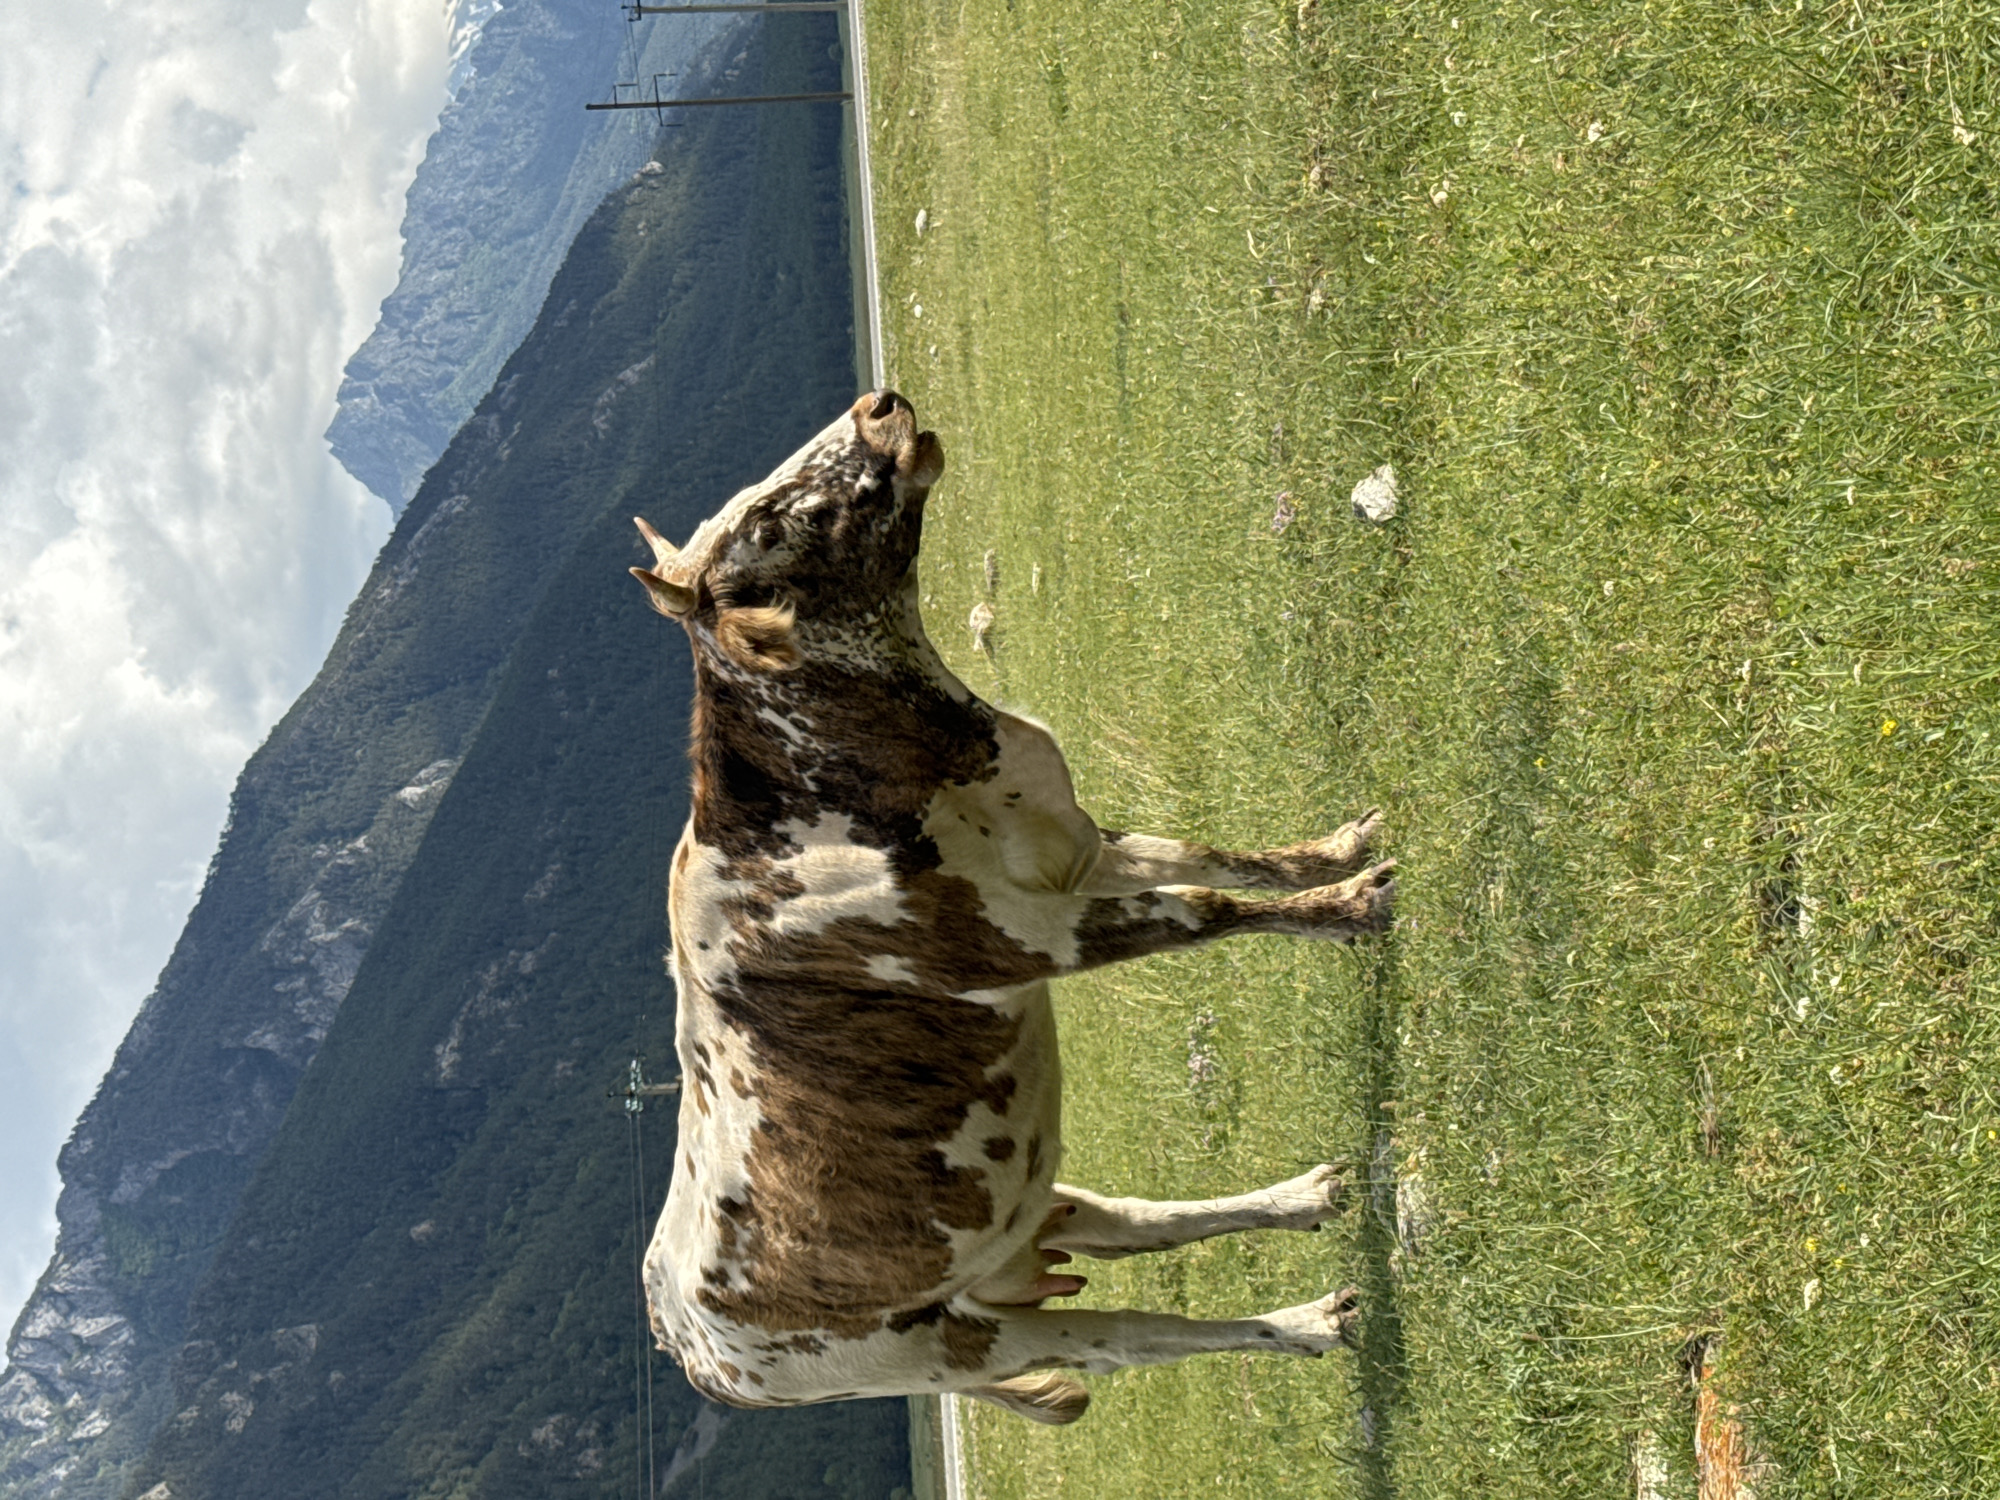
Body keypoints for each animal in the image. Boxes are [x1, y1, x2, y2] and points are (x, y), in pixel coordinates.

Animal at [630, 391, 1397, 1426]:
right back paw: (1305, 1323)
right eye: (774, 519)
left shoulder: (1072, 855)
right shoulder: (1021, 938)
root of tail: (688, 1344)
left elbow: (1211, 859)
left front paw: (1334, 856)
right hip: (949, 1345)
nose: (878, 405)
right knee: (1128, 1339)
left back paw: (1297, 1203)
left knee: (1134, 1224)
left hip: (1021, 1207)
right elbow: (1203, 905)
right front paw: (1351, 904)